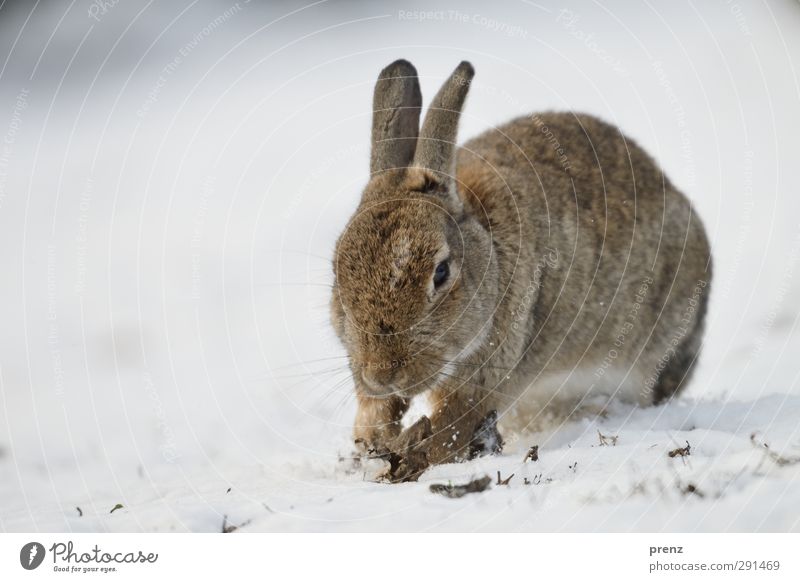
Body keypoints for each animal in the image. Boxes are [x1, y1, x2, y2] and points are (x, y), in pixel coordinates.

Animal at [328, 60, 708, 480]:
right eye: (337, 273)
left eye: (440, 272)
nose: (381, 374)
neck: (488, 256)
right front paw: (371, 443)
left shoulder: (489, 372)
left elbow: (452, 426)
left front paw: (408, 460)